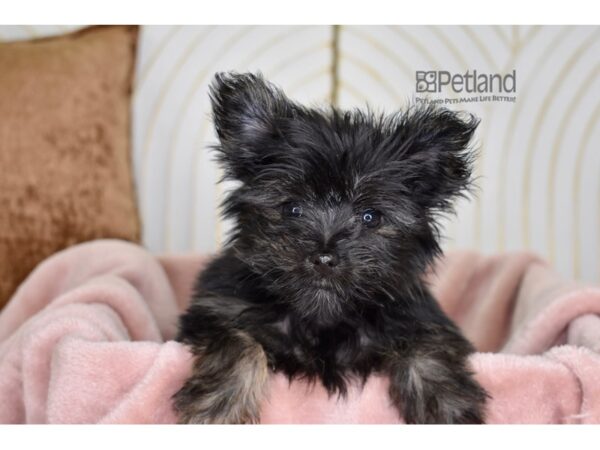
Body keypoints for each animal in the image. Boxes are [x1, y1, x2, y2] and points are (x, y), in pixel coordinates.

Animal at [173, 72, 488, 424]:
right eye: (292, 209)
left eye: (370, 216)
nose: (324, 258)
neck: (323, 316)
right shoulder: (215, 310)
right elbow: (237, 342)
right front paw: (217, 408)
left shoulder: (420, 318)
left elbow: (428, 346)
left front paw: (446, 405)